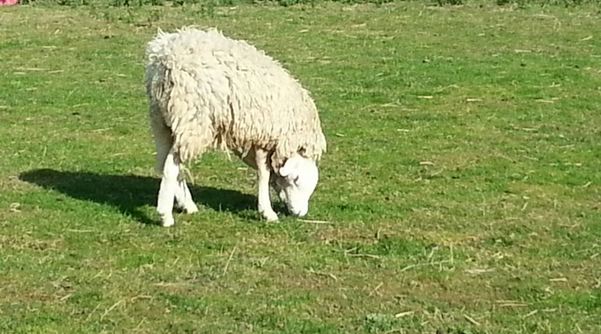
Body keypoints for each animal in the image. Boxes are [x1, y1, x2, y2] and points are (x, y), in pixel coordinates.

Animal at [144, 26, 326, 227]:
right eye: (296, 179)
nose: (301, 213)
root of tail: (164, 59)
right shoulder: (263, 136)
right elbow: (264, 173)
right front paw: (267, 212)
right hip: (193, 121)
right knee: (171, 167)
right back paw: (166, 215)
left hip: (161, 121)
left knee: (165, 163)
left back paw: (187, 204)